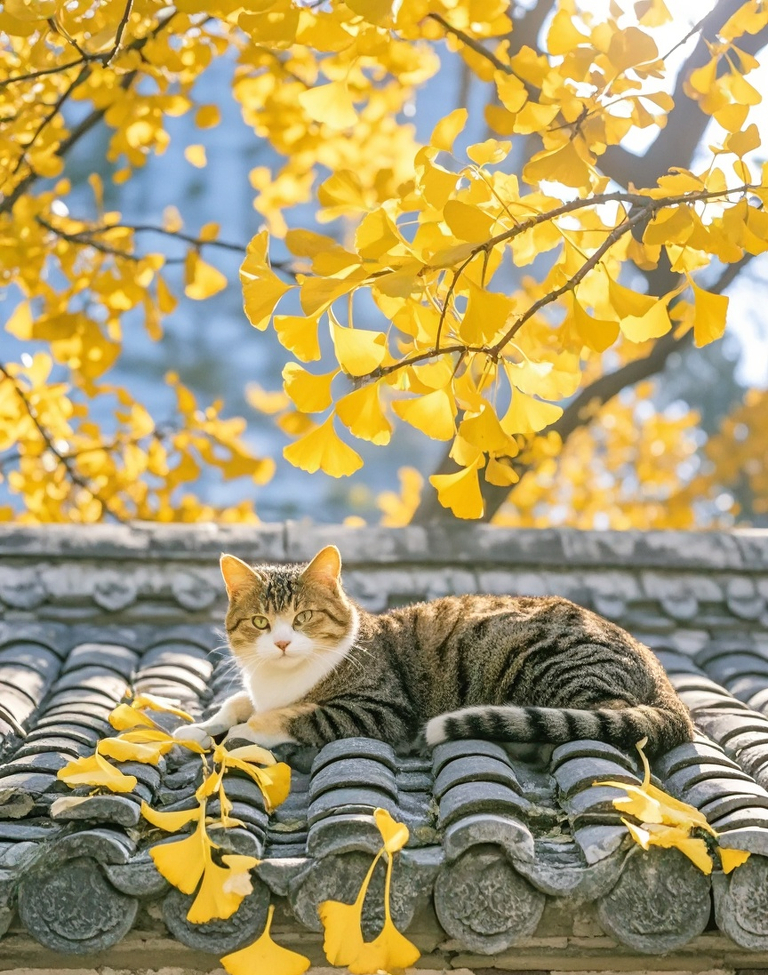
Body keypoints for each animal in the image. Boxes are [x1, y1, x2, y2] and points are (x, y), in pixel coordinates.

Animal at [177, 544, 692, 760]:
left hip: (546, 661)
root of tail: (658, 669)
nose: (282, 642)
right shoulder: (254, 689)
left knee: (604, 719)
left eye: (303, 617)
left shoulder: (381, 709)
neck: (281, 681)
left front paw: (247, 731)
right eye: (261, 623)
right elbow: (234, 702)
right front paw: (199, 728)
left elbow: (296, 715)